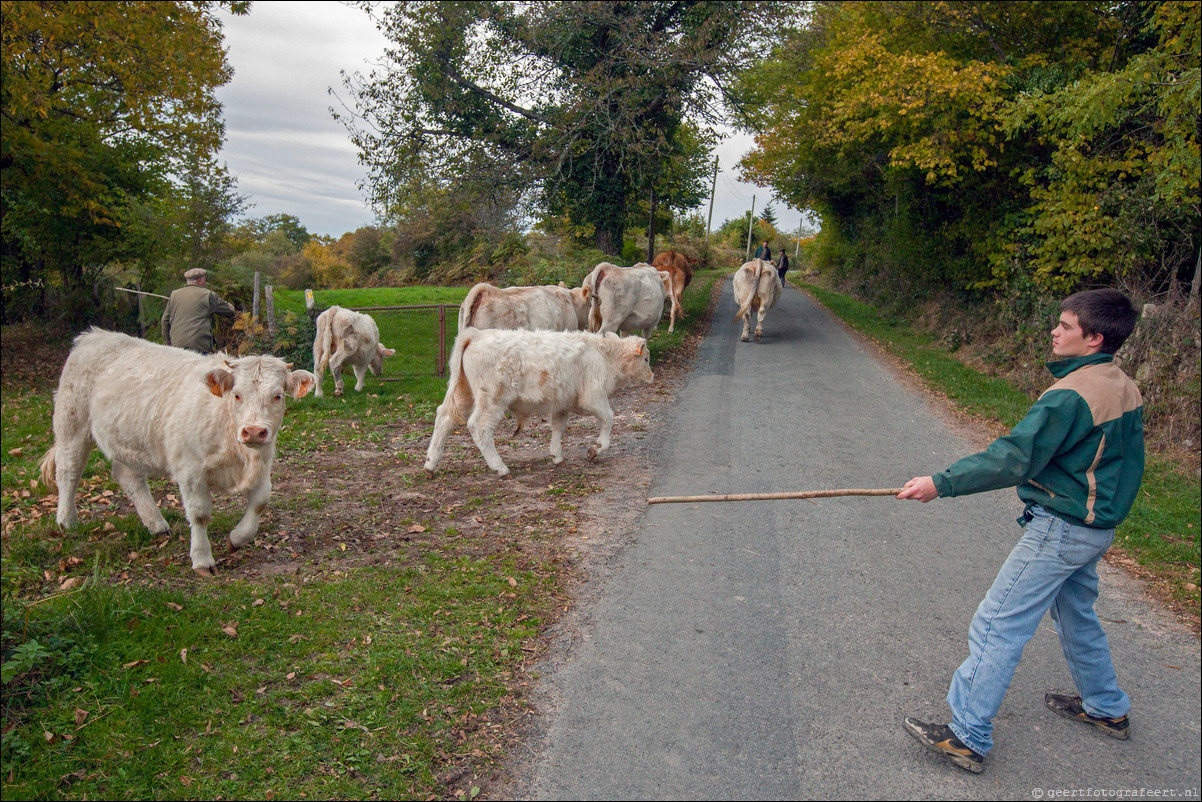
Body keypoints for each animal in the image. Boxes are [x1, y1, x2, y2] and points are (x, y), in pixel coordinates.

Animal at [39, 331, 314, 577]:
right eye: (237, 395)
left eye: (278, 396)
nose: (254, 431)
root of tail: (94, 336)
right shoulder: (189, 470)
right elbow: (200, 514)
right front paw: (202, 560)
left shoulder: (263, 463)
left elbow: (260, 502)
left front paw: (236, 538)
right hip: (72, 424)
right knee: (68, 471)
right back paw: (66, 521)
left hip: (127, 439)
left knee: (129, 478)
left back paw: (156, 524)